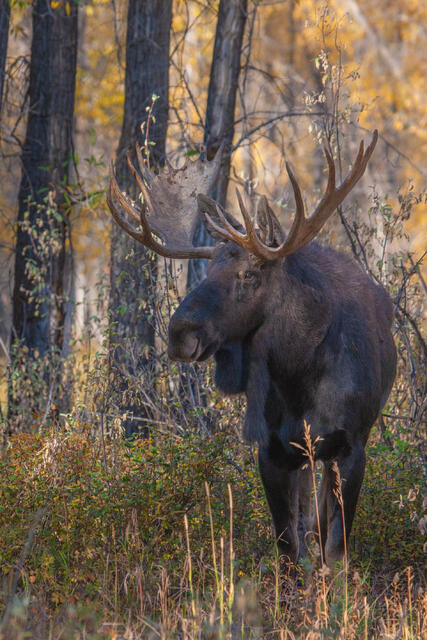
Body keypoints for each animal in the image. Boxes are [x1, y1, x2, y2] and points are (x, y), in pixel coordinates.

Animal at [107, 130, 396, 567]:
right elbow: (288, 548)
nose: (179, 332)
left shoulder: (352, 445)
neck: (301, 381)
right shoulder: (271, 451)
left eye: (249, 274)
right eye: (207, 270)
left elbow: (336, 550)